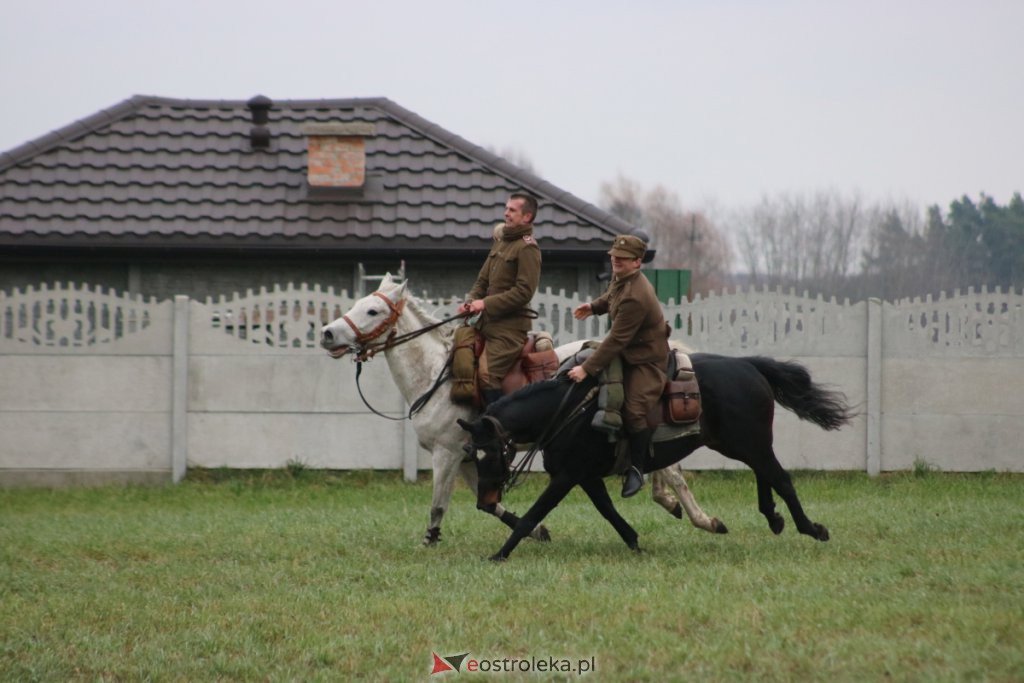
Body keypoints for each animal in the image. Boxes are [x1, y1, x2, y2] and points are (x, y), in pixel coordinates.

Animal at [315, 274, 724, 548]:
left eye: (372, 310)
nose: (327, 334)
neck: (436, 375)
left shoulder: (447, 454)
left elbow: (438, 505)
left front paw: (430, 540)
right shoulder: (470, 457)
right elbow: (487, 504)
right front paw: (537, 530)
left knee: (672, 472)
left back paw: (703, 519)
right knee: (663, 466)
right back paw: (673, 504)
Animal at [460, 352, 851, 561]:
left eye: (491, 453)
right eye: (472, 454)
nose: (484, 501)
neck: (568, 410)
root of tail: (748, 365)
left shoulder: (566, 477)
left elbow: (533, 515)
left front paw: (500, 554)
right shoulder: (585, 477)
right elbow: (607, 510)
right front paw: (633, 540)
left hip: (750, 442)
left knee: (780, 478)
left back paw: (810, 527)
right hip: (739, 443)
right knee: (764, 474)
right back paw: (773, 517)